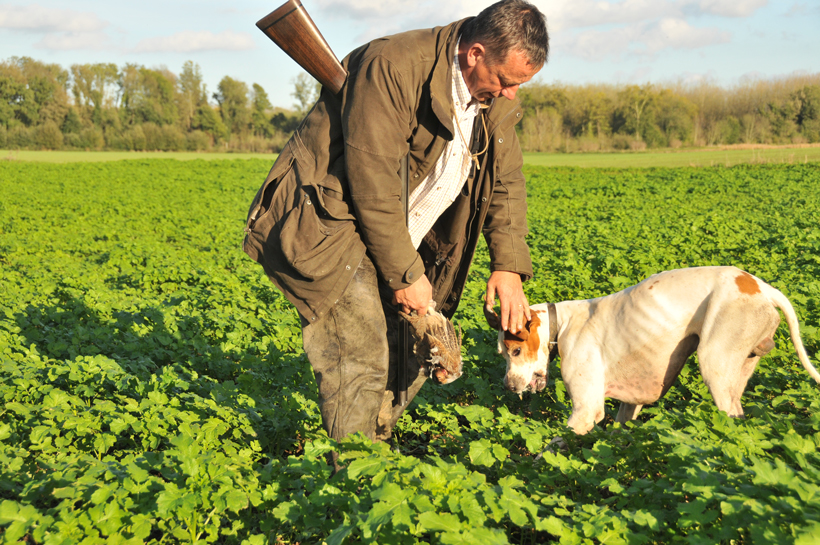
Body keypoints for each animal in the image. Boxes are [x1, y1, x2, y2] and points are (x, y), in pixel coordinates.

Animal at [484, 266, 816, 434]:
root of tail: (760, 286)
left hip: (715, 367)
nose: (508, 386)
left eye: (515, 352)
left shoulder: (585, 411)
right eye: (502, 355)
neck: (563, 324)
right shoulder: (628, 405)